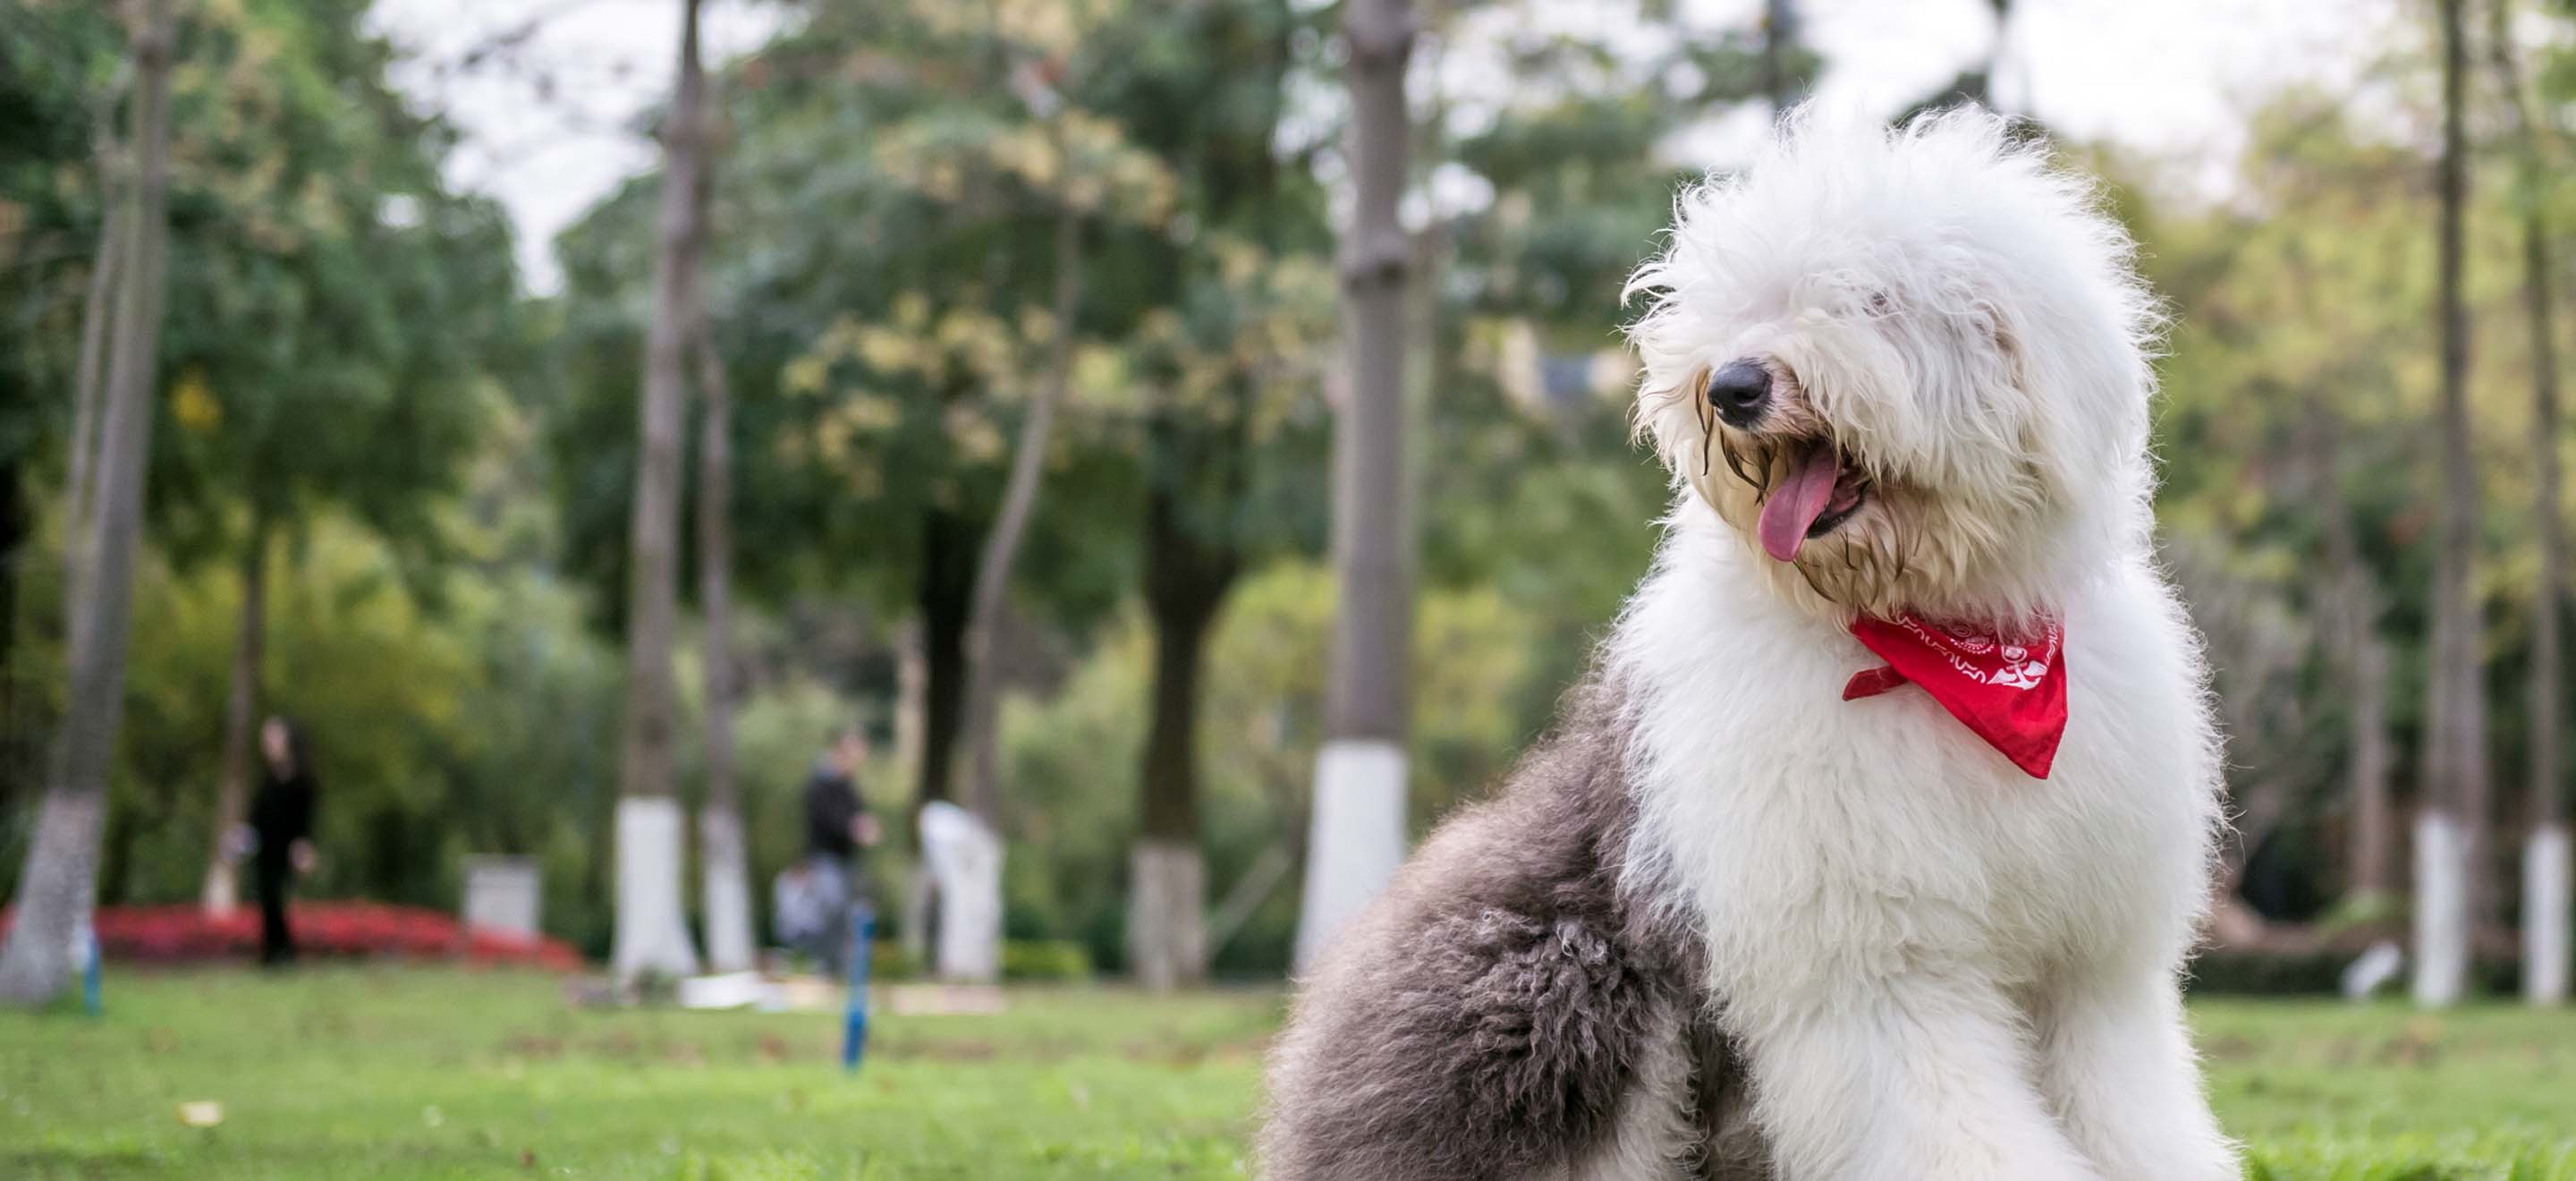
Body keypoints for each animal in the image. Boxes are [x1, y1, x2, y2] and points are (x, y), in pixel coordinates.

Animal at [1257, 110, 2225, 1181]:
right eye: (1741, 305)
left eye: (1874, 300)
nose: (1732, 385)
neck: (1938, 651)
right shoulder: (1877, 964)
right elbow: (1943, 1119)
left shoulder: (2092, 966)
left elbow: (2127, 1104)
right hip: (1561, 974)